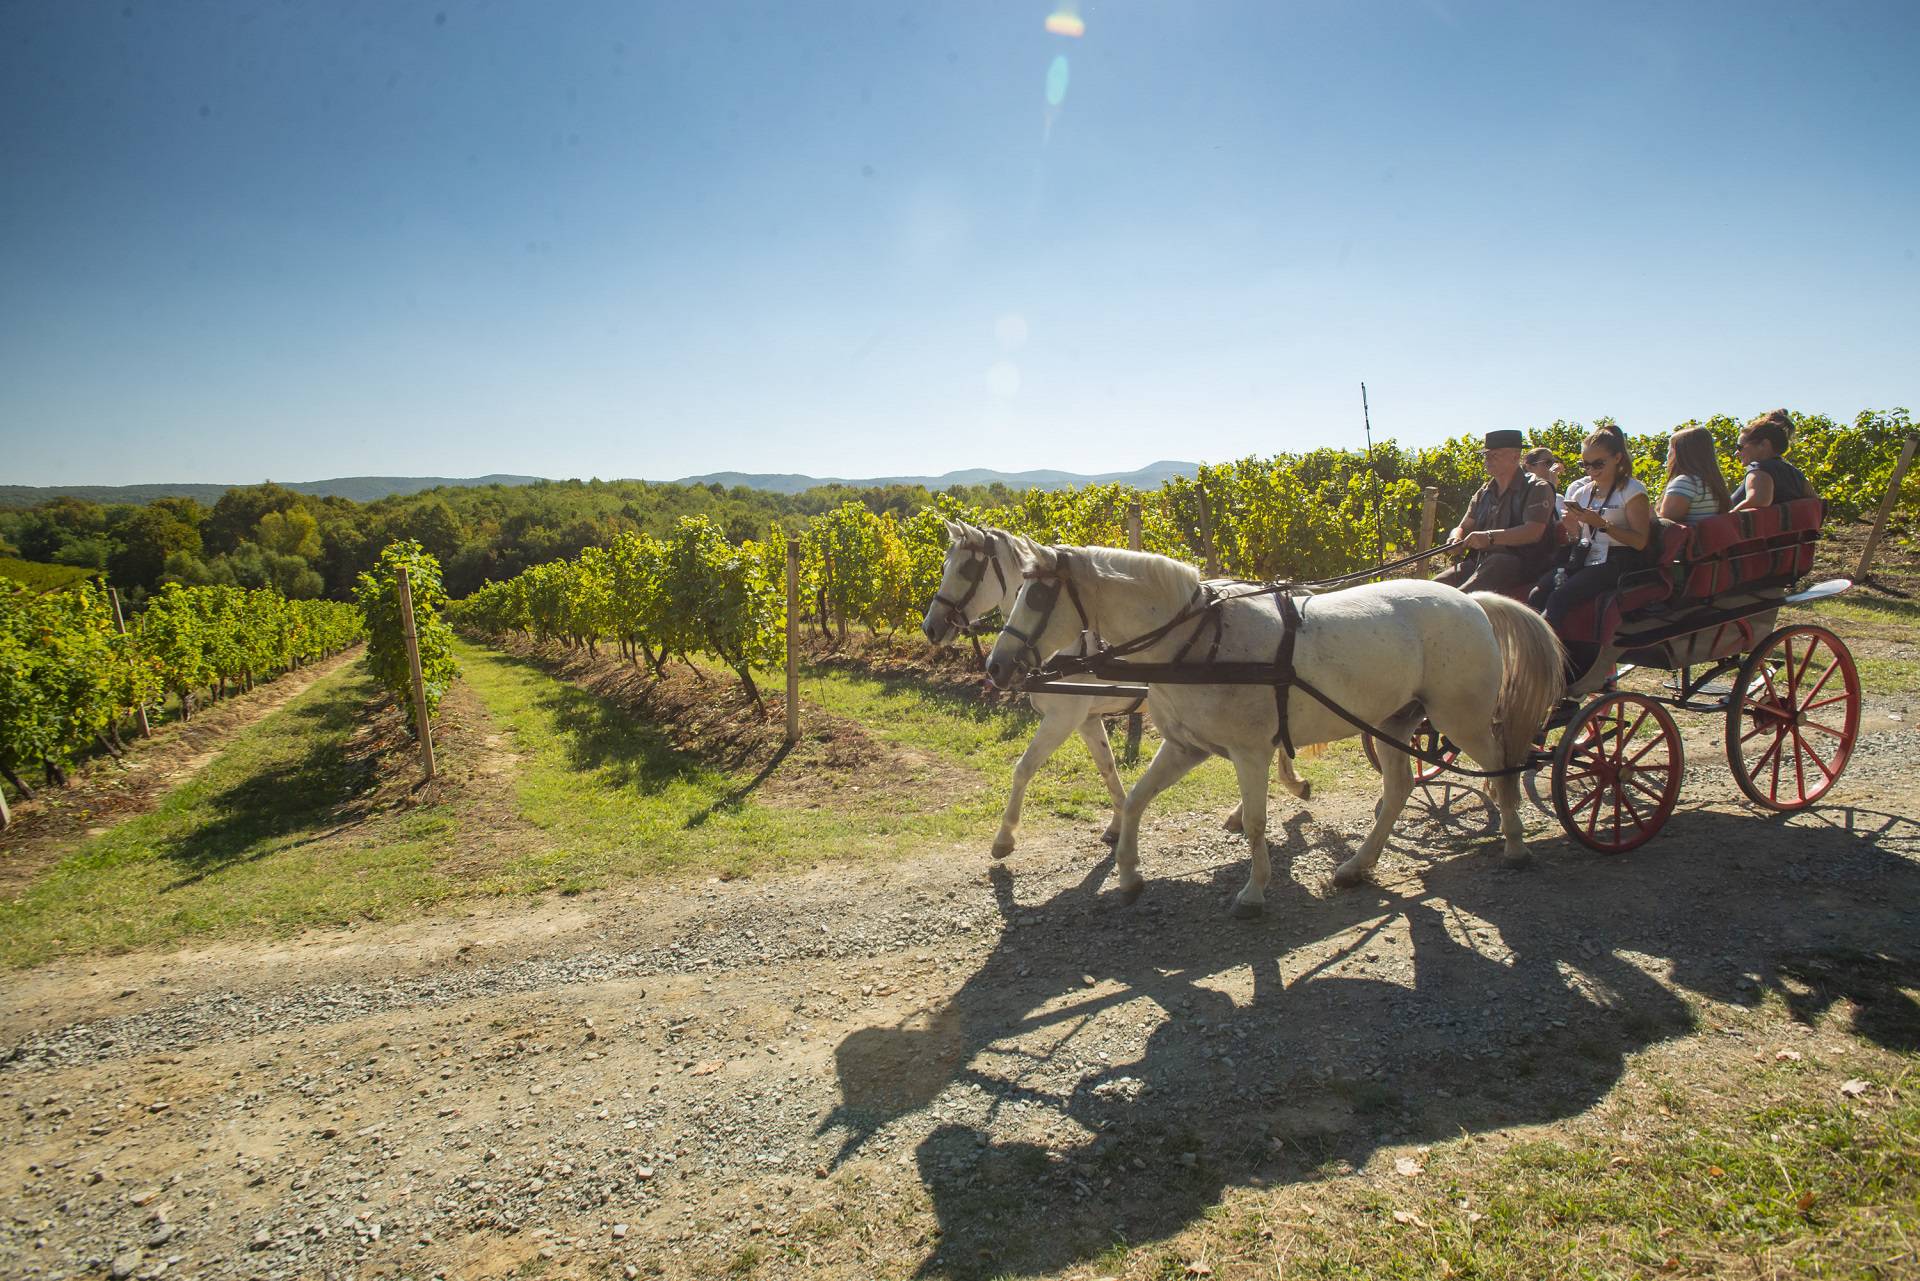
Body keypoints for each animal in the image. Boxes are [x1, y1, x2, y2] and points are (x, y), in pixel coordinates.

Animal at [913, 522, 1305, 860]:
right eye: (945, 566)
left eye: (965, 570)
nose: (930, 627)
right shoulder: (1086, 719)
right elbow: (1107, 766)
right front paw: (1117, 824)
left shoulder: (1062, 717)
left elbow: (1024, 767)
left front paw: (1004, 838)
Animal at [983, 545, 1566, 918]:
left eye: (1038, 598)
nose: (996, 666)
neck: (1199, 642)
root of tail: (1473, 601)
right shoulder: (1186, 746)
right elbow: (1134, 801)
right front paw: (1127, 876)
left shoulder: (1249, 753)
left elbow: (1258, 822)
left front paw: (1254, 892)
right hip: (1391, 722)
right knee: (1399, 789)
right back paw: (1357, 865)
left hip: (1458, 718)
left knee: (1501, 764)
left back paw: (1515, 843)